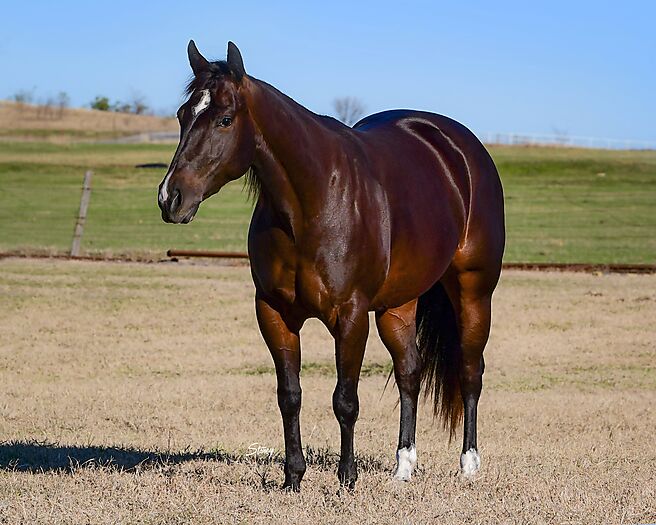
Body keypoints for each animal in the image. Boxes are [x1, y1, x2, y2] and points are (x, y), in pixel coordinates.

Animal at [158, 40, 505, 491]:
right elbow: (289, 395)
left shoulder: (351, 315)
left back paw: (469, 465)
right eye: (183, 115)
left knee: (469, 370)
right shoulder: (273, 312)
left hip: (473, 290)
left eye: (224, 119)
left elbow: (345, 399)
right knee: (410, 371)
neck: (312, 202)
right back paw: (403, 467)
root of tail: (461, 148)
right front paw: (293, 478)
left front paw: (346, 479)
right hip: (398, 304)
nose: (170, 198)